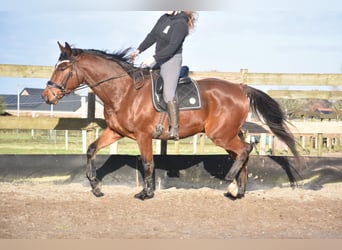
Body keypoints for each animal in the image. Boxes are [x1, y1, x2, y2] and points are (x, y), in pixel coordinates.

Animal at [42, 42, 302, 200]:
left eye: (63, 68)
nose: (47, 96)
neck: (124, 92)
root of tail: (240, 88)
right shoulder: (115, 132)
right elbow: (91, 150)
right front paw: (95, 187)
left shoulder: (144, 136)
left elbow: (148, 163)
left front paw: (146, 193)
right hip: (227, 135)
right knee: (242, 154)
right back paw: (237, 191)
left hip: (221, 135)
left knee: (246, 149)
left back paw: (230, 181)